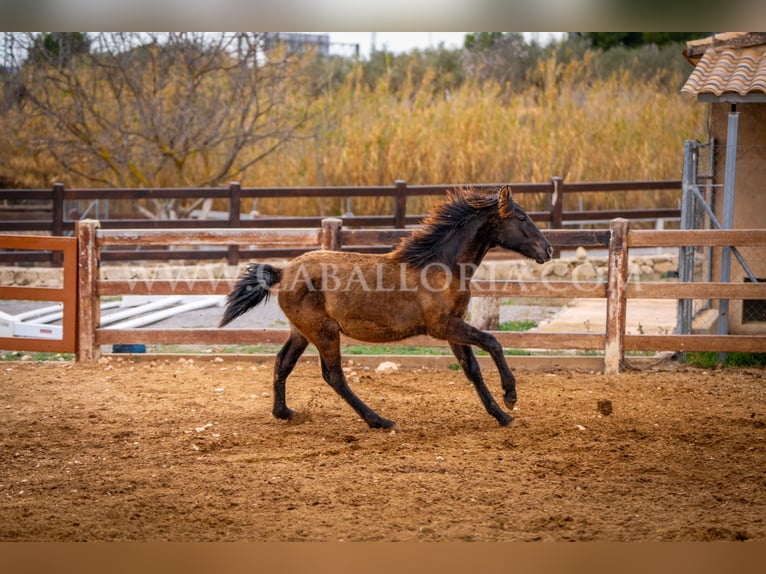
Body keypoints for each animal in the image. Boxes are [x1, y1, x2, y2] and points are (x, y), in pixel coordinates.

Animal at [220, 187, 552, 430]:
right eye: (521, 217)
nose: (547, 249)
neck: (441, 266)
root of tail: (283, 272)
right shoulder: (443, 326)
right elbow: (493, 342)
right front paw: (510, 397)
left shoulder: (453, 327)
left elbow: (472, 370)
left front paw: (502, 415)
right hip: (324, 332)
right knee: (333, 376)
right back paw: (379, 420)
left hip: (301, 332)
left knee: (283, 363)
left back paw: (284, 412)